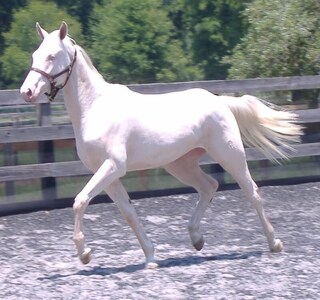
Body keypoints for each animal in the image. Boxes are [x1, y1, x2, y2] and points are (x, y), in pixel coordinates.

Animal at [20, 22, 302, 268]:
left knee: (251, 191)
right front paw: (150, 258)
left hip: (229, 155)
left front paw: (84, 253)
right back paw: (197, 239)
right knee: (209, 186)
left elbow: (80, 201)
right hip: (180, 164)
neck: (94, 109)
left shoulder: (113, 166)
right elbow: (128, 213)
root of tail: (220, 101)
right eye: (34, 55)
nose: (26, 92)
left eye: (52, 55)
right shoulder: (106, 174)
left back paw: (274, 243)